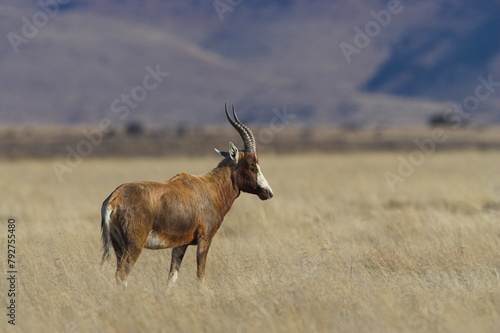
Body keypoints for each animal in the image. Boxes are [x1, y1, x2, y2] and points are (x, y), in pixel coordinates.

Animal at [100, 105, 274, 286]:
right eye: (252, 166)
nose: (268, 192)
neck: (209, 188)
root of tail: (114, 199)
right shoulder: (204, 240)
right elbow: (200, 276)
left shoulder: (180, 245)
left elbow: (172, 278)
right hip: (134, 246)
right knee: (122, 275)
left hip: (118, 246)